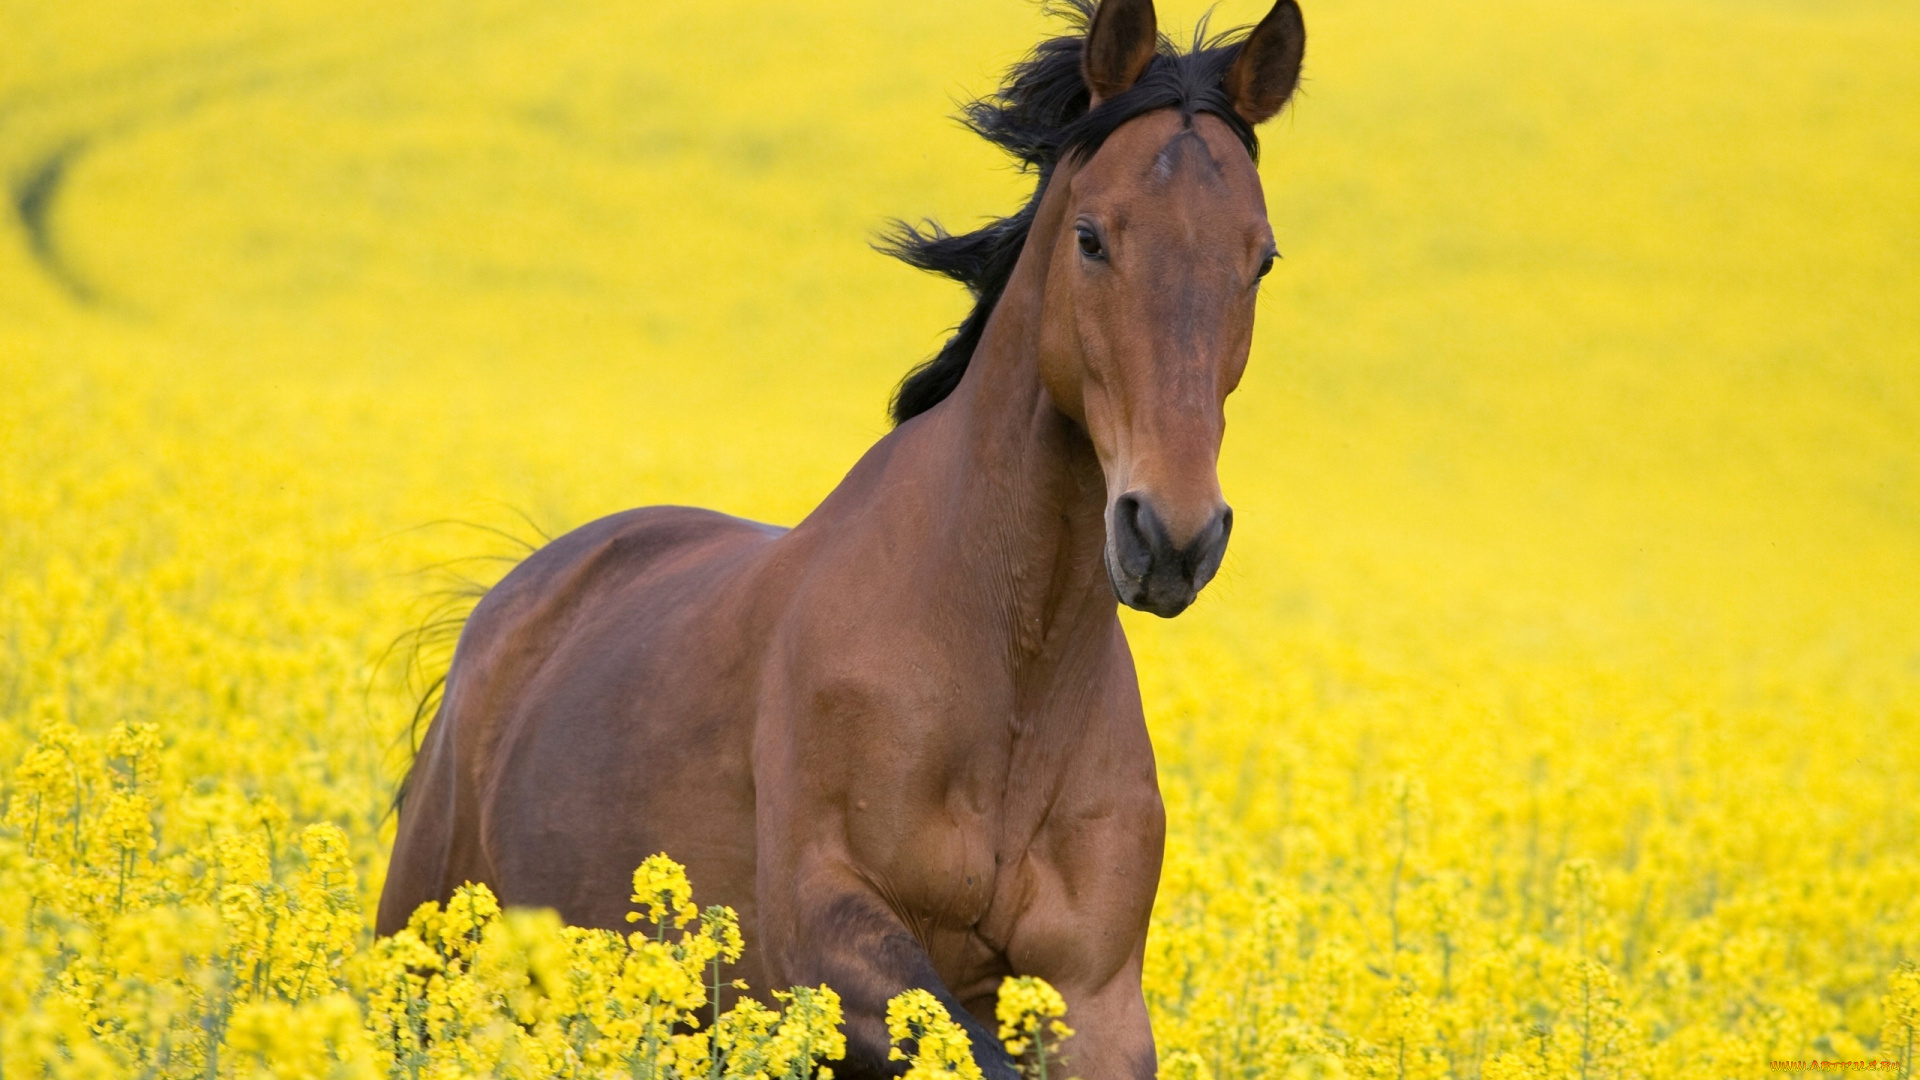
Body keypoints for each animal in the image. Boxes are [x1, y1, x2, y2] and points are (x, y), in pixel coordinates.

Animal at [374, 4, 1305, 1068]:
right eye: (1090, 238)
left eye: (1259, 258)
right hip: (423, 958)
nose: (1172, 537)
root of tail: (515, 597)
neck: (1009, 666)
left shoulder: (1093, 995)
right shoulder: (825, 938)